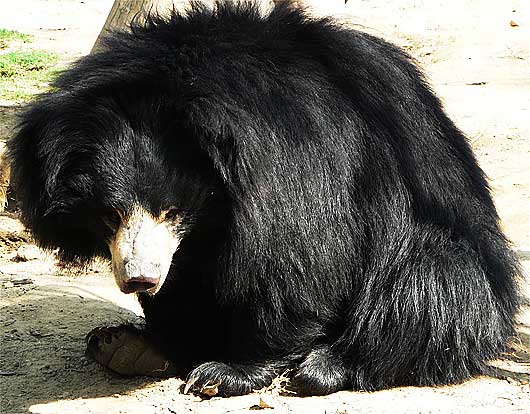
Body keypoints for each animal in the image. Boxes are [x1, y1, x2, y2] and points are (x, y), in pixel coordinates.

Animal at [7, 2, 516, 398]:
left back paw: (325, 367)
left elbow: (298, 258)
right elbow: (187, 279)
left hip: (455, 264)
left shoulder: (296, 154)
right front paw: (160, 343)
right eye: (110, 214)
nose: (139, 280)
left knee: (428, 285)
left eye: (170, 211)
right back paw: (127, 347)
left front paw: (225, 373)